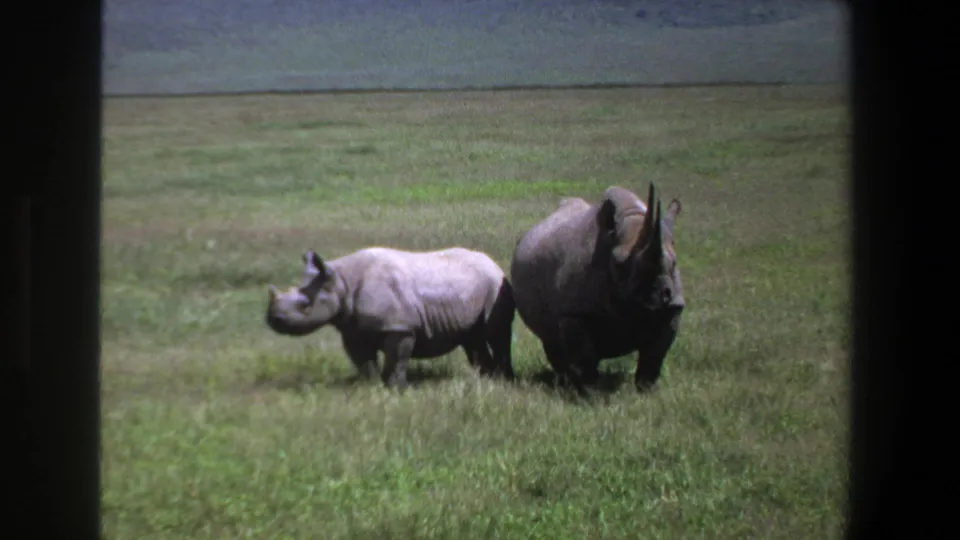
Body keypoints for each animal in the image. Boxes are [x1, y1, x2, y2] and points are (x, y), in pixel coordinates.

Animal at [265, 246, 516, 390]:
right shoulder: (352, 329)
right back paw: (485, 379)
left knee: (497, 334)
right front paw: (370, 386)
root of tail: (493, 262)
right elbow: (363, 361)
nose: (273, 319)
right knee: (472, 338)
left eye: (304, 306)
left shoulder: (399, 326)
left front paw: (397, 389)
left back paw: (503, 380)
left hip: (495, 284)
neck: (341, 280)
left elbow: (397, 358)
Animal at [509, 183, 684, 395]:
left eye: (674, 263)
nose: (658, 298)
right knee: (551, 339)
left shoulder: (673, 307)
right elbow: (584, 355)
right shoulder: (575, 311)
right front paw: (591, 394)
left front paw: (647, 392)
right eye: (618, 264)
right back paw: (564, 382)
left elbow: (655, 355)